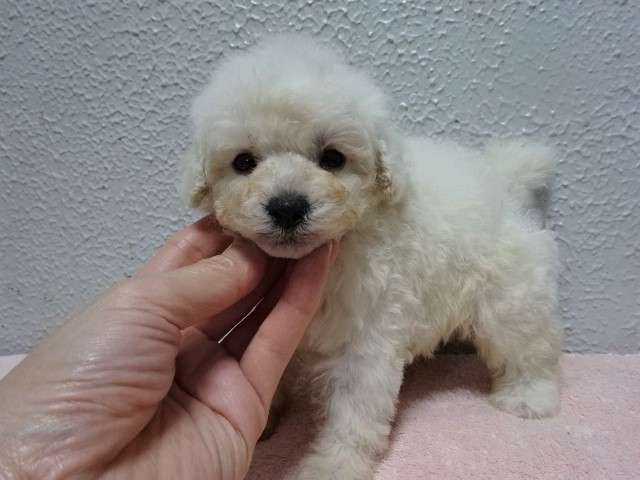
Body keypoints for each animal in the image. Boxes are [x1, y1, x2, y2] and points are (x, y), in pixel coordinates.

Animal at [183, 36, 563, 479]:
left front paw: (333, 465)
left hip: (511, 296)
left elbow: (354, 409)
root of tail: (501, 177)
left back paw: (529, 398)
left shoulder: (368, 336)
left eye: (332, 158)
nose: (288, 207)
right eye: (244, 162)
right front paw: (265, 423)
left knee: (527, 347)